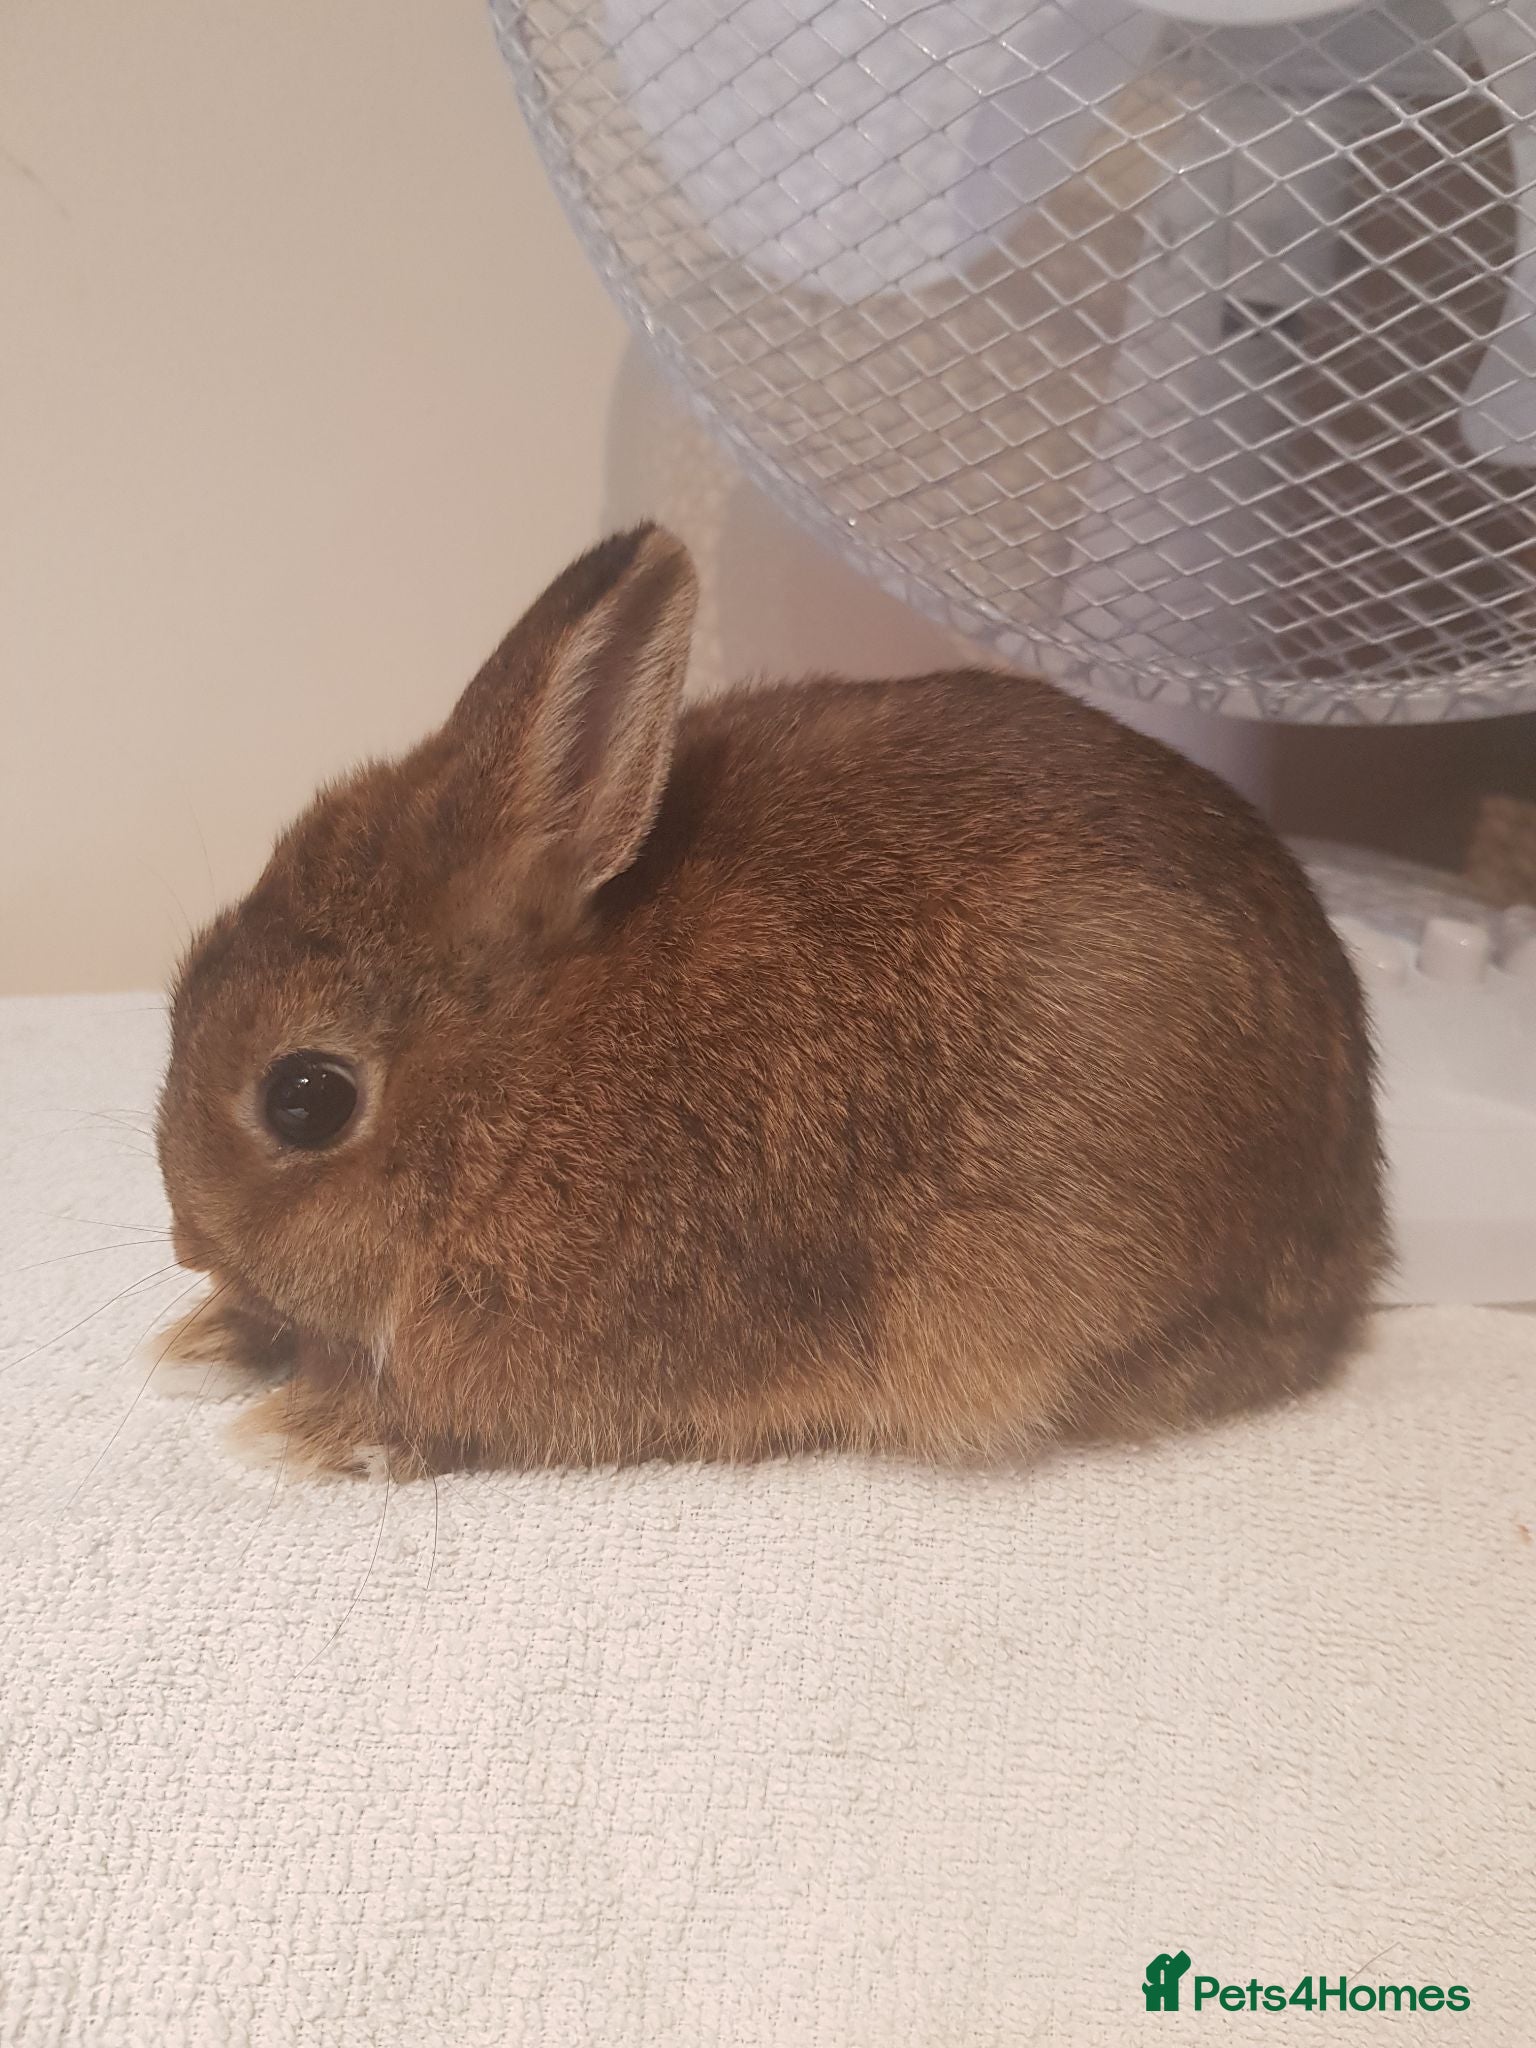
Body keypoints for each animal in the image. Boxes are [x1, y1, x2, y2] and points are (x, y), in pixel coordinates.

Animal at [152, 523, 1386, 1478]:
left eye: (306, 1099)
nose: (185, 1240)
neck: (524, 1077)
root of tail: (1351, 1236)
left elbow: (422, 1410)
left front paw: (292, 1430)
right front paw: (203, 1341)